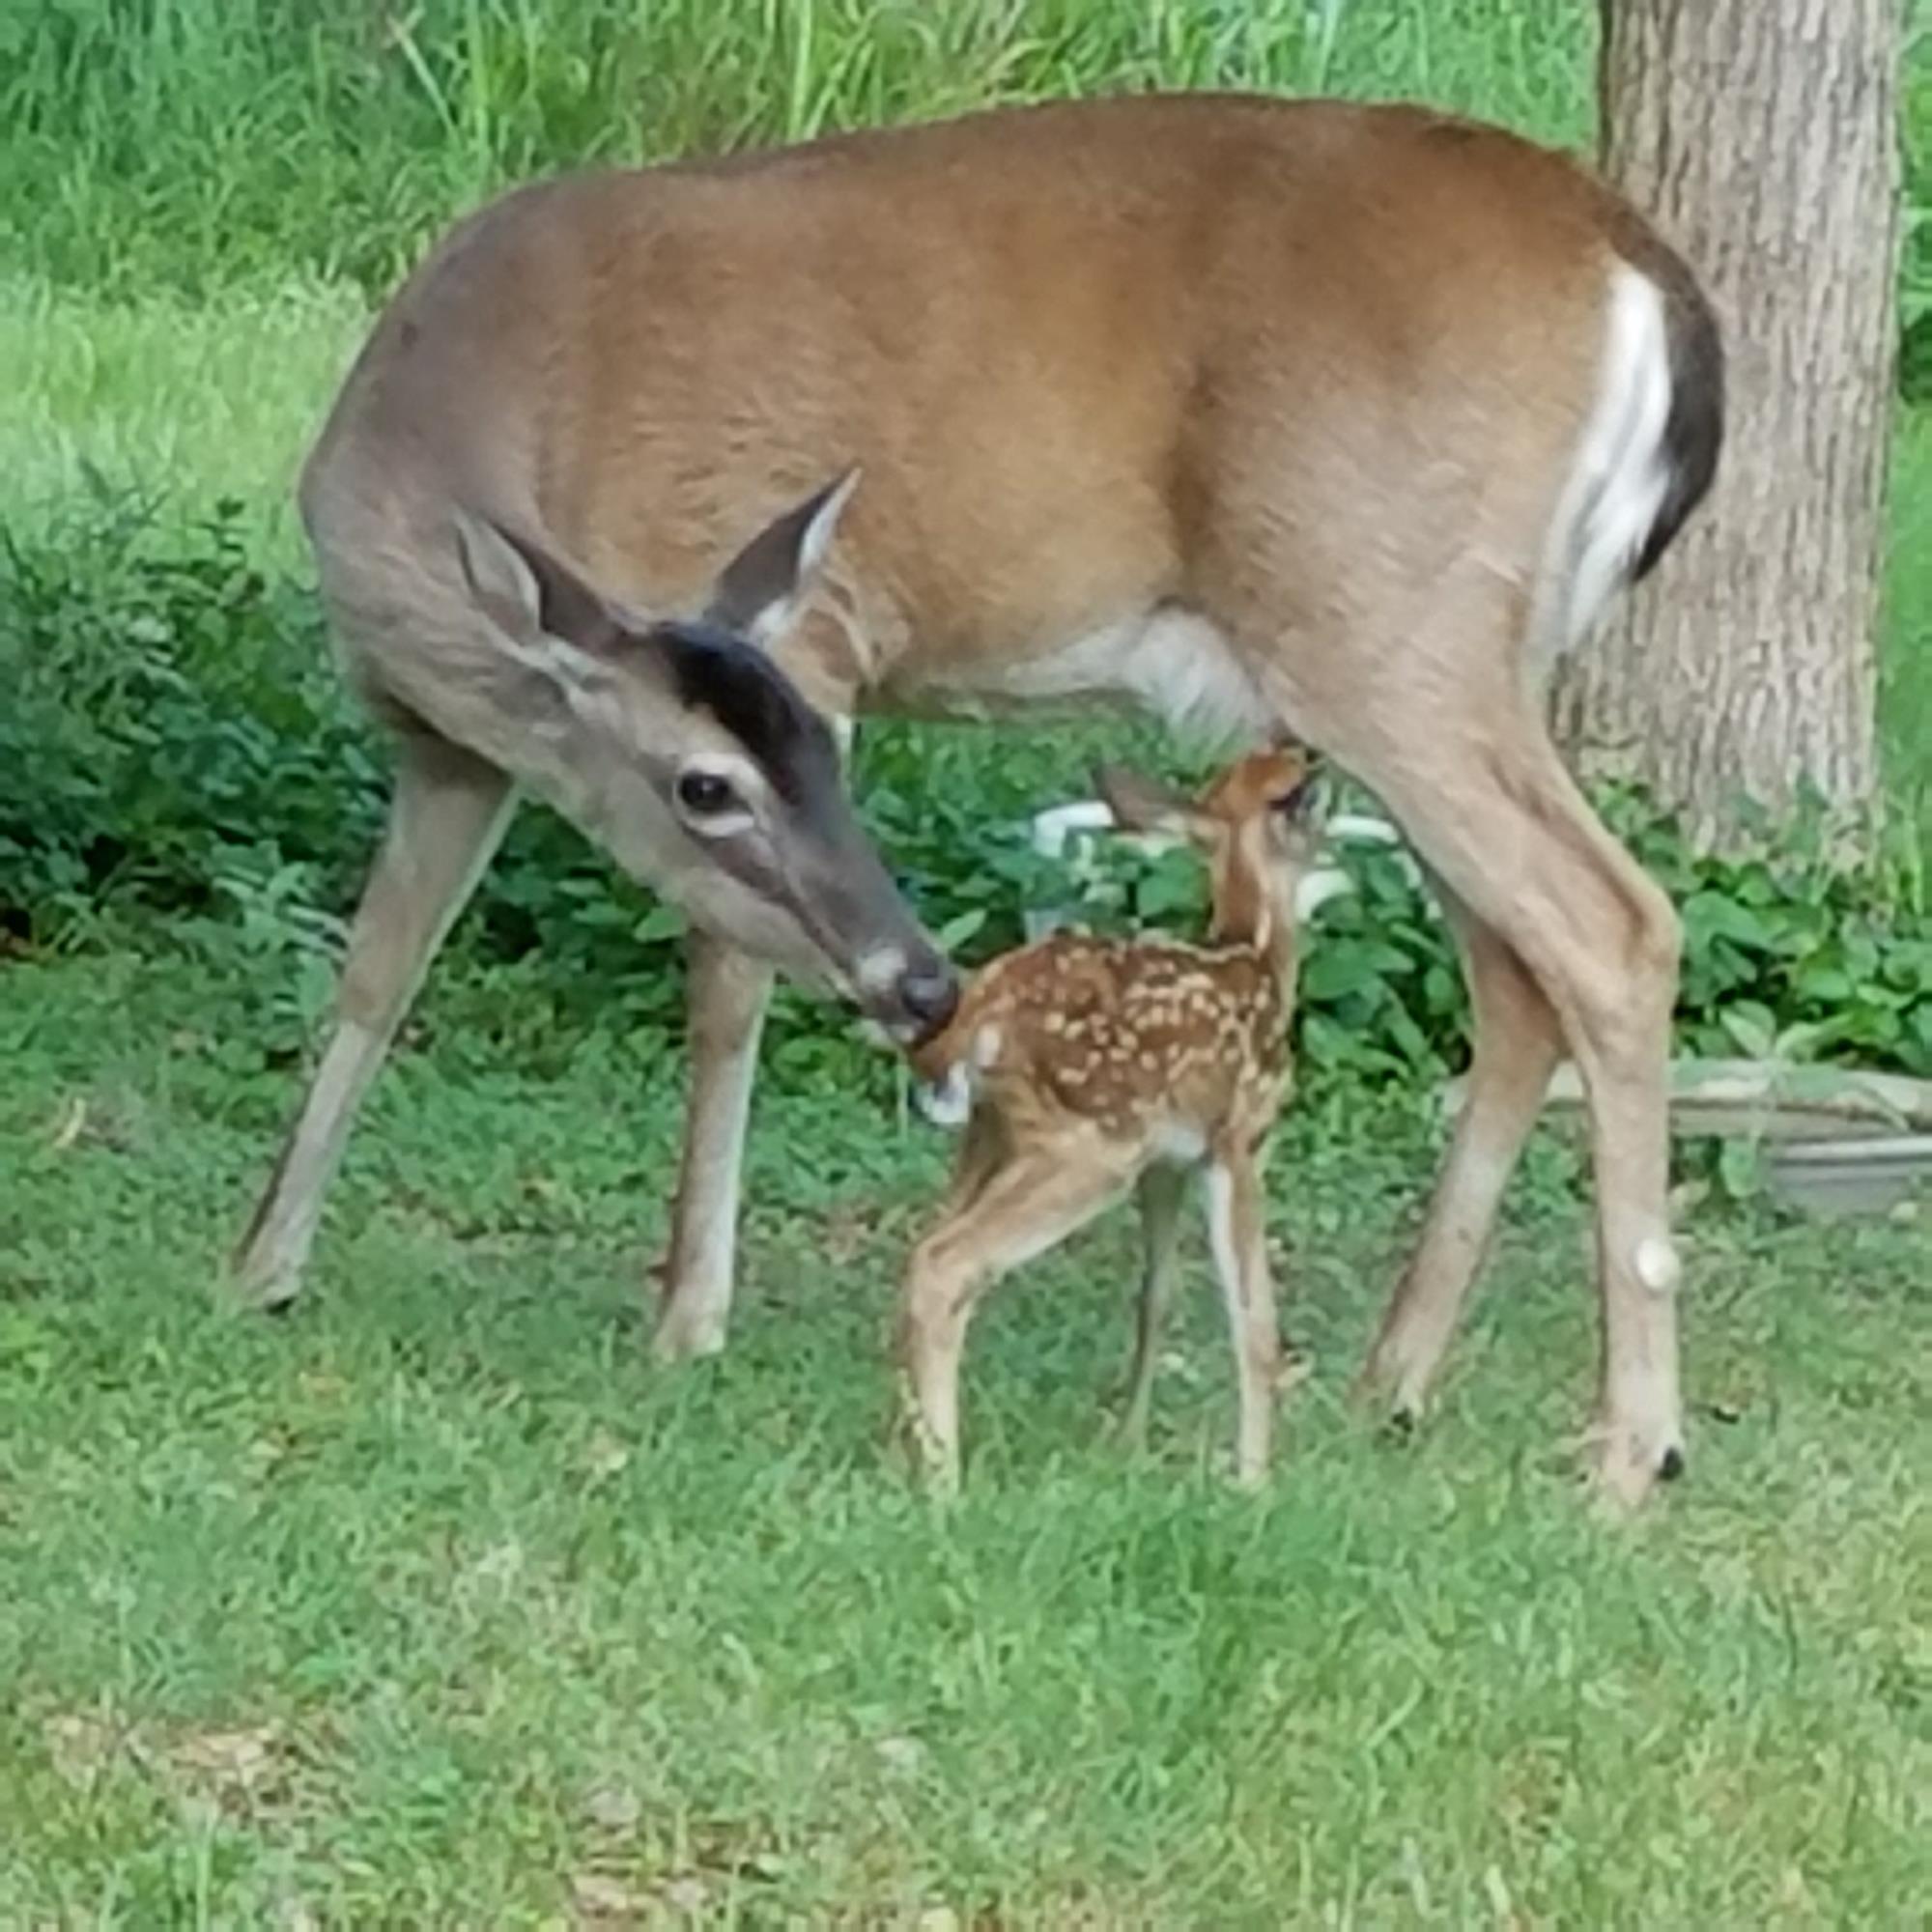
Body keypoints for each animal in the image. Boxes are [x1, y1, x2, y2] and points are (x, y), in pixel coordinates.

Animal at [234, 91, 1731, 1507]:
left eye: (766, 767)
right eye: (710, 779)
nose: (924, 984)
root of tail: (1643, 271)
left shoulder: (802, 636)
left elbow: (723, 993)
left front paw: (688, 1314)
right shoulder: (452, 749)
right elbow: (377, 970)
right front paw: (261, 1265)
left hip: (1388, 623)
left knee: (1611, 926)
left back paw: (1631, 1445)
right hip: (1451, 659)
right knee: (1516, 970)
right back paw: (1394, 1383)